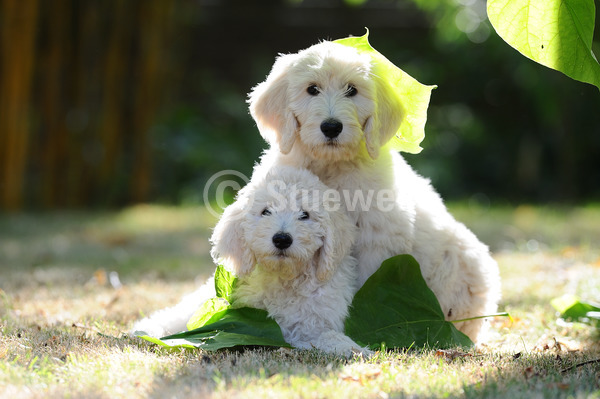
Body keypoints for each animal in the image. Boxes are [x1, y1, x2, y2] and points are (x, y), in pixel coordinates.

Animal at [134, 166, 366, 356]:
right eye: (266, 211)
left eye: (305, 215)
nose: (282, 239)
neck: (284, 277)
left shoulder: (313, 321)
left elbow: (324, 334)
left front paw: (351, 347)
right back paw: (148, 328)